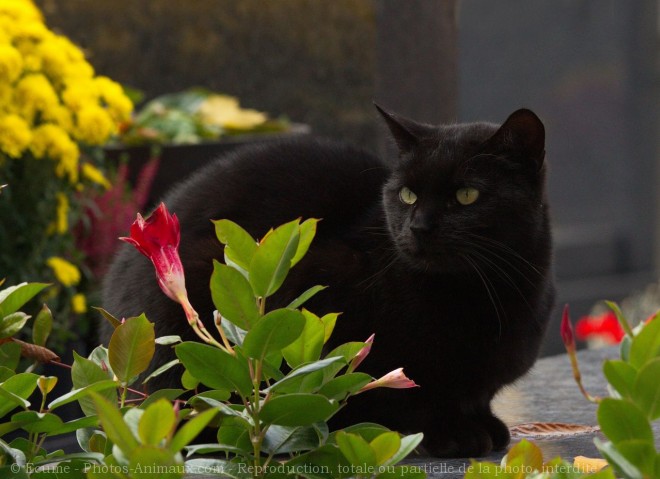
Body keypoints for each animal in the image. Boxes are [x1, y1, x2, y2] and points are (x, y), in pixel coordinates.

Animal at [104, 107, 556, 460]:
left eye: (466, 195)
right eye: (407, 195)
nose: (419, 226)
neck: (486, 291)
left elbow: (474, 395)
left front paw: (486, 424)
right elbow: (402, 398)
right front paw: (454, 434)